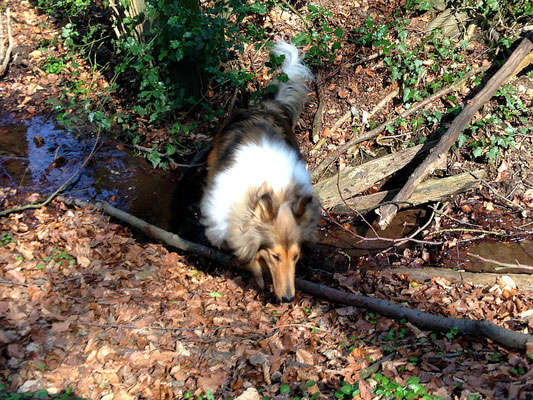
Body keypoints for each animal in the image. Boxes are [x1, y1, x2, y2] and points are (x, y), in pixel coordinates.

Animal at [198, 40, 316, 304]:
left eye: (296, 256)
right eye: (275, 256)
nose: (288, 298)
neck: (273, 189)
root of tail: (266, 107)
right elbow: (248, 255)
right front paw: (258, 275)